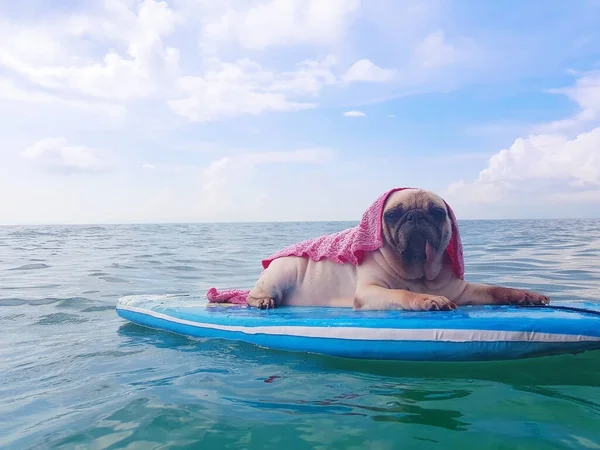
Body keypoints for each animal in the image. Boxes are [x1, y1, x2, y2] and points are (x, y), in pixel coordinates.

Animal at [244, 188, 548, 312]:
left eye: (437, 212)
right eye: (392, 214)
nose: (415, 216)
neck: (419, 271)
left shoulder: (463, 291)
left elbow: (497, 289)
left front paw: (526, 295)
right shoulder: (370, 292)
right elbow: (402, 293)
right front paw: (428, 300)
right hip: (281, 271)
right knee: (252, 295)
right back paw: (263, 301)